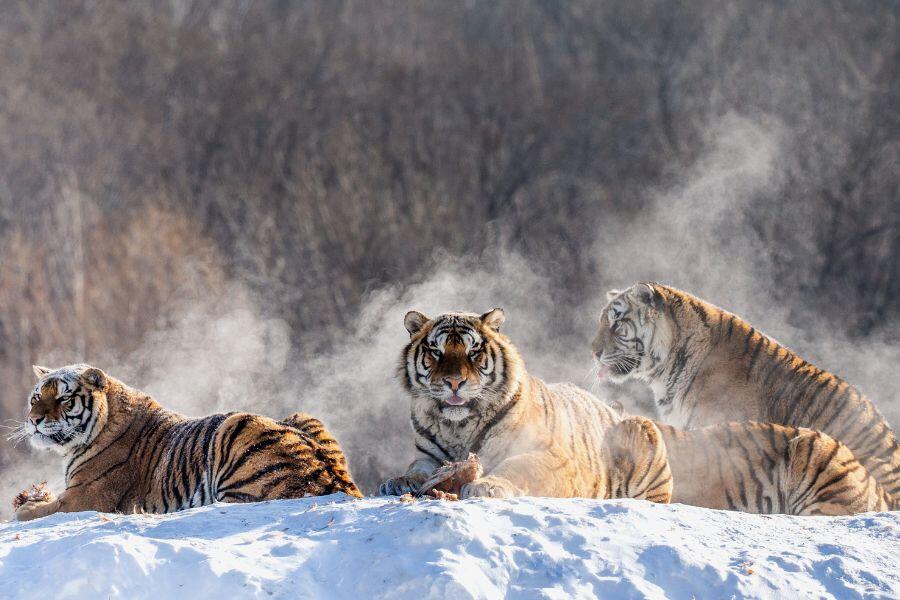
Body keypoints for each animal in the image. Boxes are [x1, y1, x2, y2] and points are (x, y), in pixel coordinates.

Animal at [12, 364, 361, 521]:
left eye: (63, 398)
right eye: (36, 397)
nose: (34, 420)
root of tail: (337, 481)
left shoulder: (85, 497)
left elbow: (41, 511)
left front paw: (25, 507)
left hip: (235, 424)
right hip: (305, 415)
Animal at [379, 308, 673, 503]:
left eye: (473, 352)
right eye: (436, 352)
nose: (454, 382)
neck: (458, 426)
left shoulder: (552, 456)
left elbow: (517, 466)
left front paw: (486, 485)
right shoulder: (427, 455)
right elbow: (418, 469)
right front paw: (398, 481)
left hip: (644, 433)